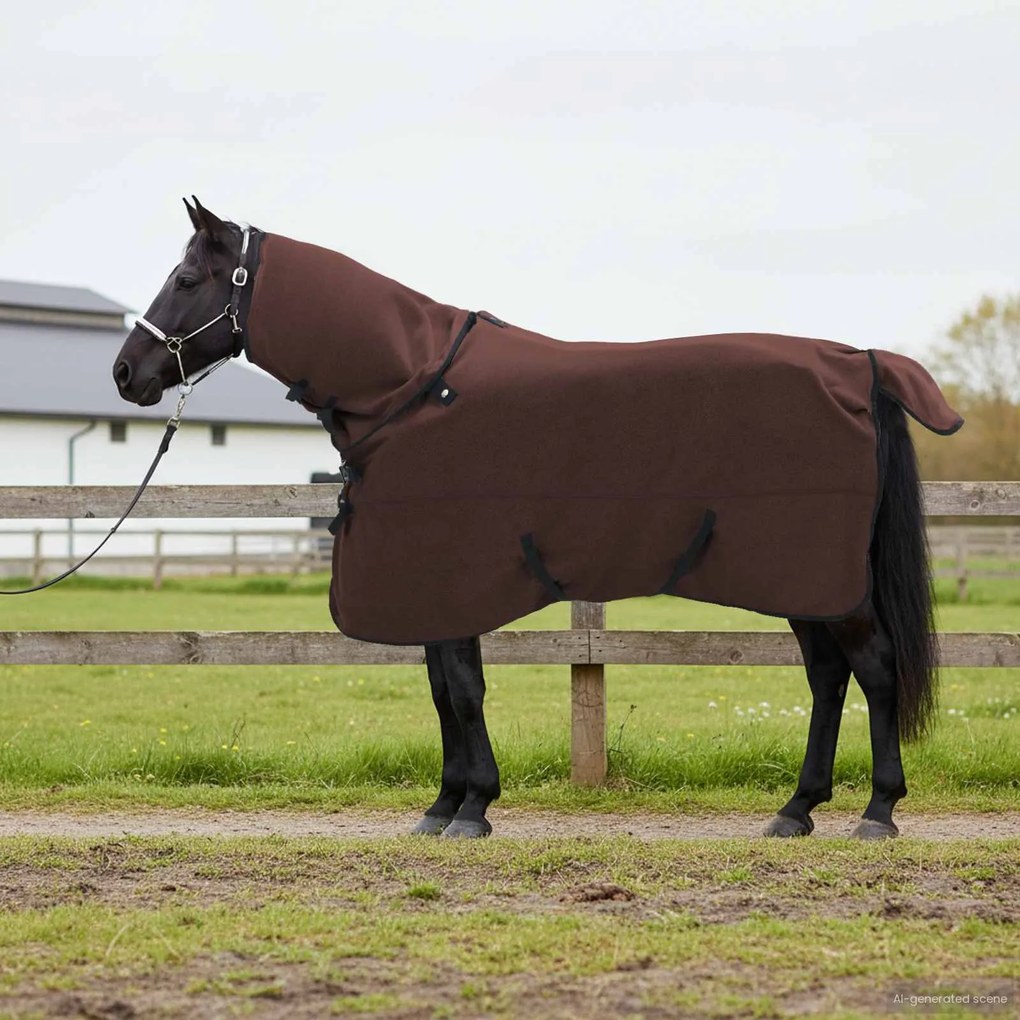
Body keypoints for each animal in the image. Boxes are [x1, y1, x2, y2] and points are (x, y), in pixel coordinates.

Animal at [113, 198, 962, 840]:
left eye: (186, 277)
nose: (126, 373)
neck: (412, 385)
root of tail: (858, 363)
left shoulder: (451, 575)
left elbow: (461, 690)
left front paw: (473, 809)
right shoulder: (432, 586)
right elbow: (443, 691)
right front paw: (444, 805)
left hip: (827, 581)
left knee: (874, 669)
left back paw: (878, 811)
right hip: (804, 583)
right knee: (827, 677)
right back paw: (797, 810)